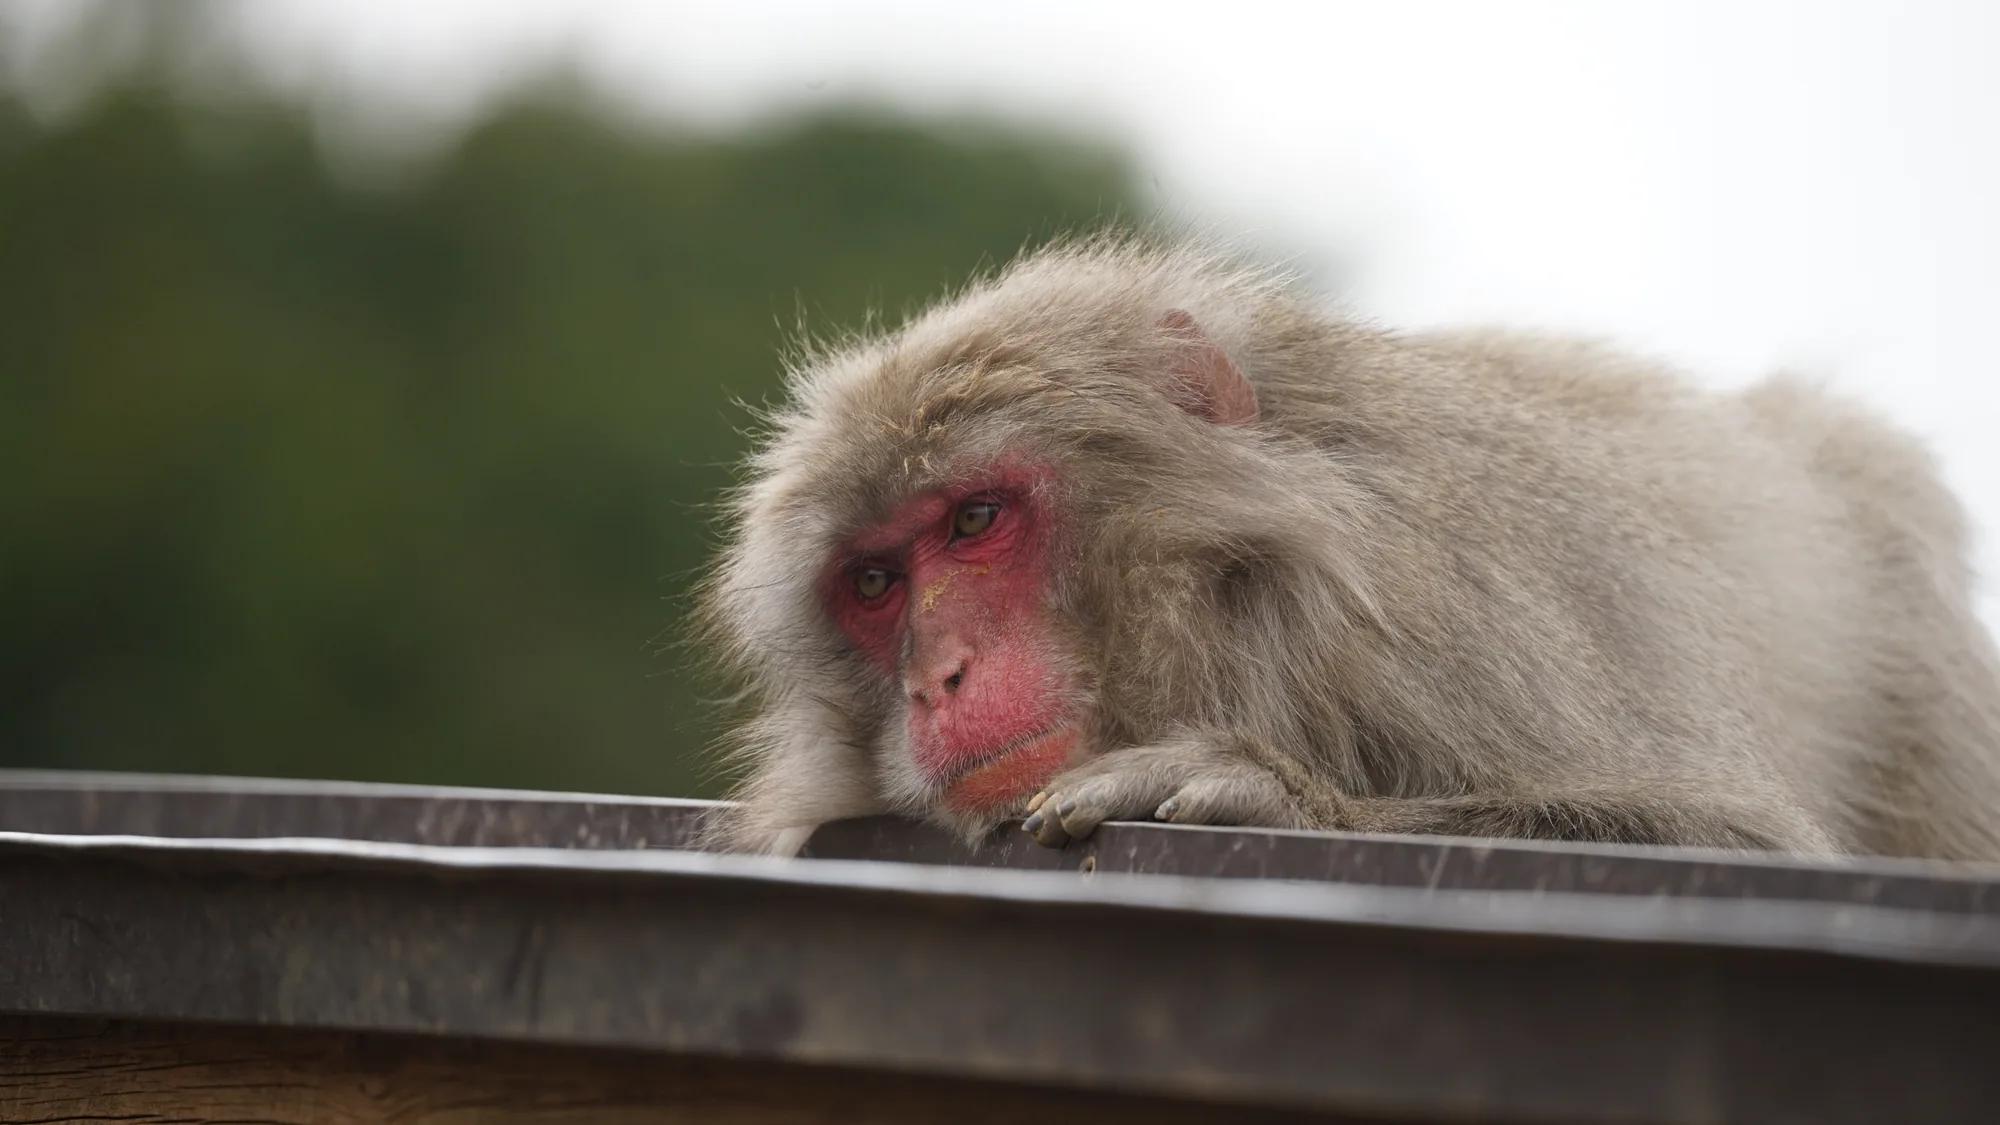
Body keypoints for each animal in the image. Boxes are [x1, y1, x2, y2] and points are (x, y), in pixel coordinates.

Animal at [696, 234, 2000, 863]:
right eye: (875, 582)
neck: (1246, 608)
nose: (937, 677)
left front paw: (1269, 793)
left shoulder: (1441, 612)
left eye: (973, 520)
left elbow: (1733, 837)